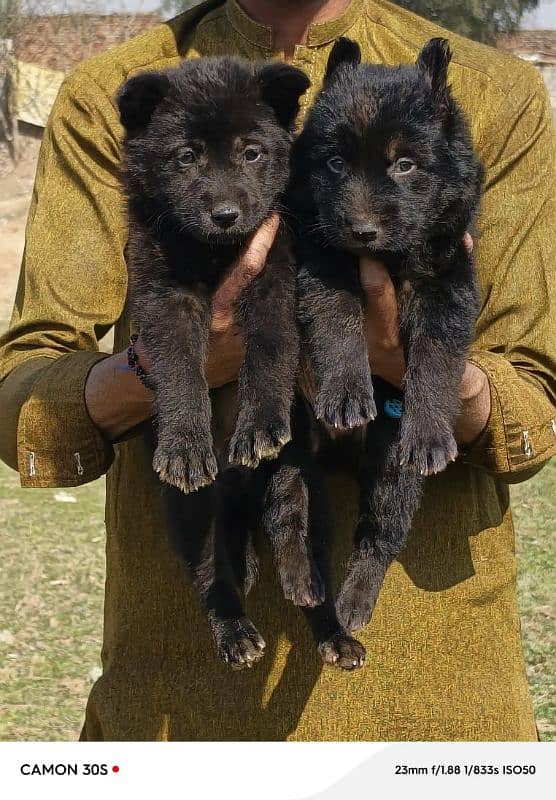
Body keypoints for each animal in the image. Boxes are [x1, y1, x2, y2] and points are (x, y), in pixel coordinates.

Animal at [118, 57, 308, 668]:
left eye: (251, 152)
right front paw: (184, 442)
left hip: (289, 466)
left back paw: (296, 576)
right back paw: (236, 629)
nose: (226, 215)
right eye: (186, 156)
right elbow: (180, 367)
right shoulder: (164, 292)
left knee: (286, 514)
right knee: (207, 568)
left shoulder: (274, 271)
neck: (214, 251)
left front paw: (260, 420)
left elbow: (270, 349)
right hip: (192, 510)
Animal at [266, 39, 482, 644]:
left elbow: (435, 363)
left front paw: (430, 432)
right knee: (288, 516)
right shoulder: (321, 263)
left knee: (379, 535)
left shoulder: (448, 287)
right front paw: (346, 394)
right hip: (289, 446)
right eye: (335, 163)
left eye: (404, 164)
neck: (386, 258)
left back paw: (353, 605)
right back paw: (305, 584)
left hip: (391, 468)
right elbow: (339, 325)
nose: (361, 231)